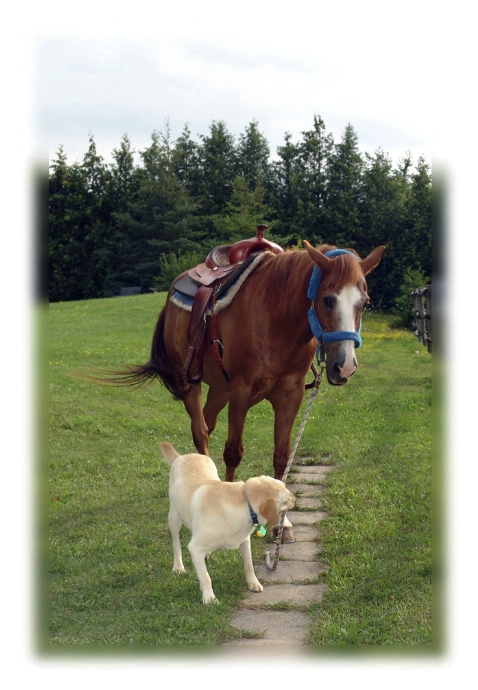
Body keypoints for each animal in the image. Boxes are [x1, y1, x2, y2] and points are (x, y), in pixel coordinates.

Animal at [116, 242, 384, 510]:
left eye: (365, 303)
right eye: (328, 300)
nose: (344, 366)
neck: (276, 321)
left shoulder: (291, 396)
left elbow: (282, 455)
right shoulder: (240, 394)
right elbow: (233, 452)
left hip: (219, 389)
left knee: (207, 424)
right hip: (190, 383)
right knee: (200, 431)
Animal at [161, 444, 296, 600]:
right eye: (286, 499)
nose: (295, 498)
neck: (245, 503)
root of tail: (183, 456)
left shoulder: (245, 541)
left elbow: (249, 565)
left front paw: (253, 584)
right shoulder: (194, 547)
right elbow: (205, 576)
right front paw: (209, 597)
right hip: (174, 518)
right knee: (176, 544)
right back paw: (178, 567)